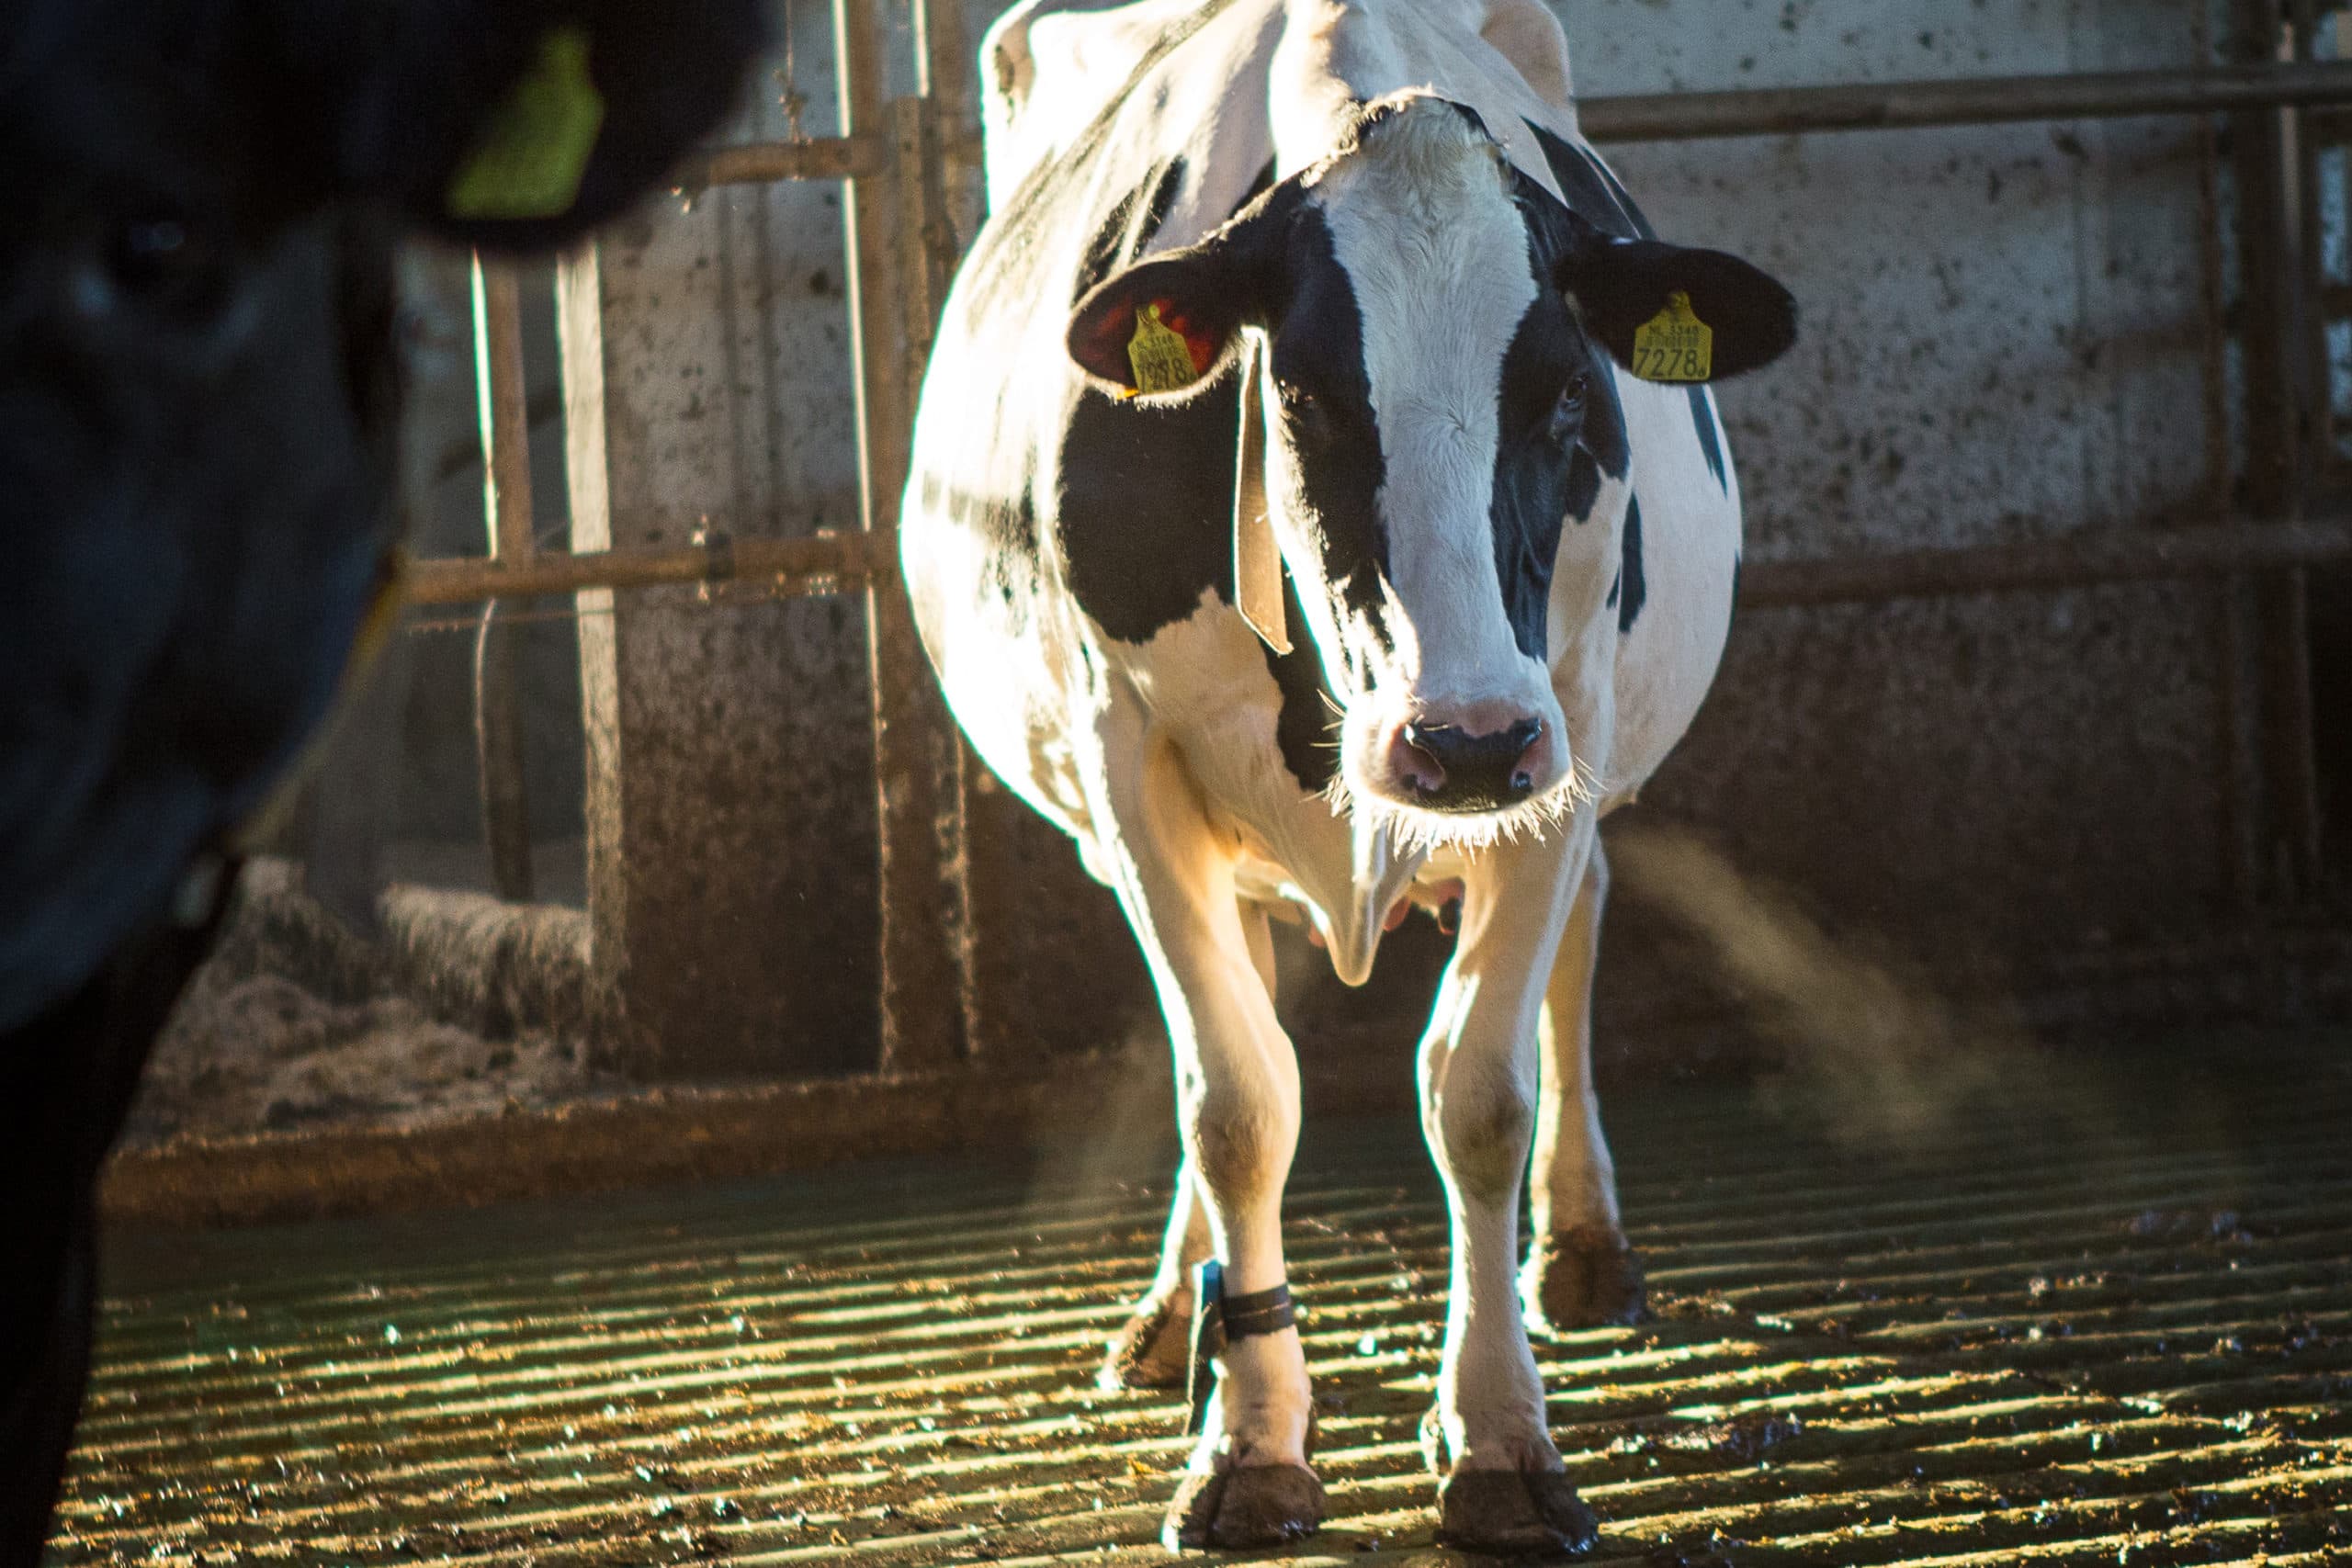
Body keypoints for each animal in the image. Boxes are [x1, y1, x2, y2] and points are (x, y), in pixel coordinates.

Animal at [903, 0, 1796, 1552]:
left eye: (1569, 393)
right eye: (1307, 395)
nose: (1462, 740)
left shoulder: (1563, 715)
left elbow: (1479, 1091)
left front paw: (1497, 1437)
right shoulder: (1128, 752)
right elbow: (1236, 1100)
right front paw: (1249, 1434)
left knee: (1581, 927)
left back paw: (1584, 1243)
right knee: (1238, 1014)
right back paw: (1173, 1311)